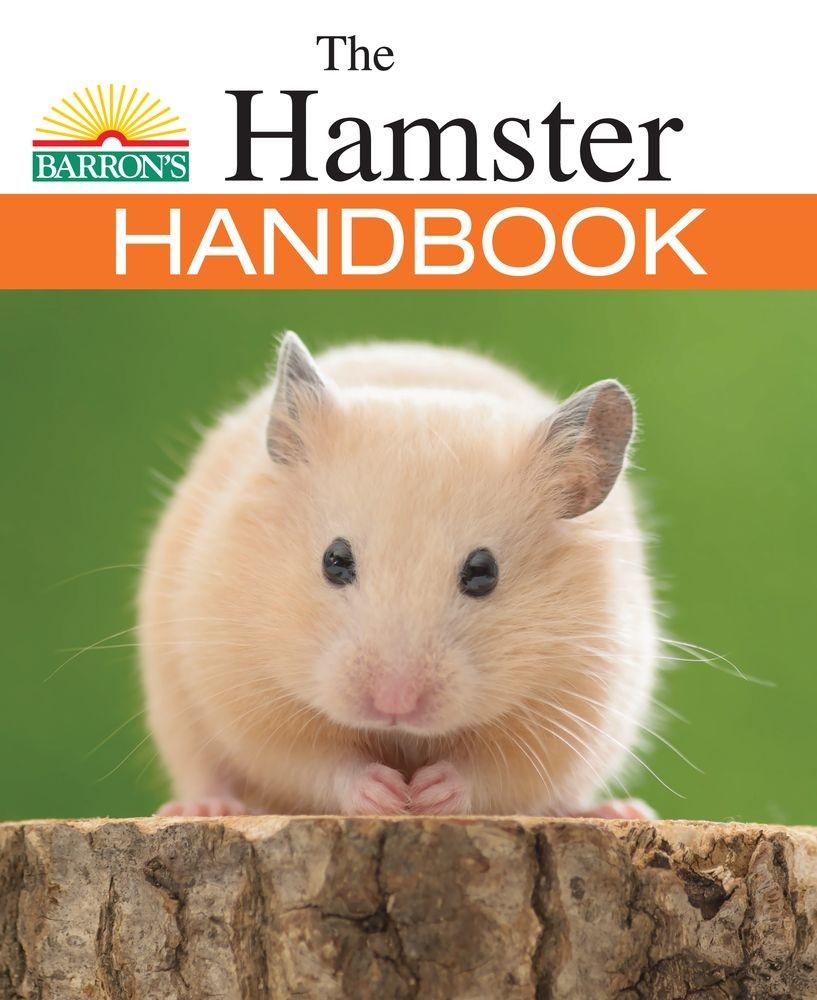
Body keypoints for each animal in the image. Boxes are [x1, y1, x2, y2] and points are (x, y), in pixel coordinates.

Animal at [140, 334, 657, 818]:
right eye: (334, 559)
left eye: (483, 572)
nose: (394, 703)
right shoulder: (249, 699)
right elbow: (318, 763)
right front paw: (388, 795)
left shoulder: (571, 711)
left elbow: (492, 775)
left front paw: (426, 795)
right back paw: (205, 808)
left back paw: (617, 809)